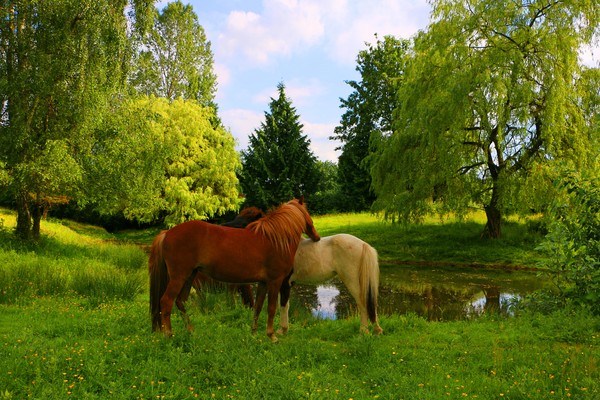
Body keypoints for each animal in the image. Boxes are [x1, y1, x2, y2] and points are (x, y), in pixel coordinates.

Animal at [149, 197, 318, 340]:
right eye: (308, 213)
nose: (316, 237)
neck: (275, 239)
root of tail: (167, 233)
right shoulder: (274, 282)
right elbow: (271, 308)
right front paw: (271, 336)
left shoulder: (263, 283)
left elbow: (257, 307)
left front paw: (254, 333)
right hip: (179, 277)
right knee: (166, 301)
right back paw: (169, 335)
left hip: (189, 277)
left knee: (179, 301)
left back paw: (190, 331)